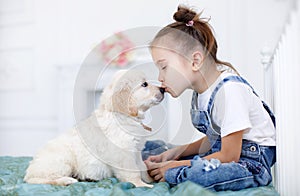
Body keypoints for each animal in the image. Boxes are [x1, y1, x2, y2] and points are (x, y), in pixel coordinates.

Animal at [23, 70, 165, 187]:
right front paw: (142, 185)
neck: (122, 115)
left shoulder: (136, 151)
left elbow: (142, 166)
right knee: (38, 180)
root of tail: (30, 170)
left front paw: (150, 179)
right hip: (62, 161)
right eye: (145, 84)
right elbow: (133, 171)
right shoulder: (124, 153)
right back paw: (66, 180)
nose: (163, 89)